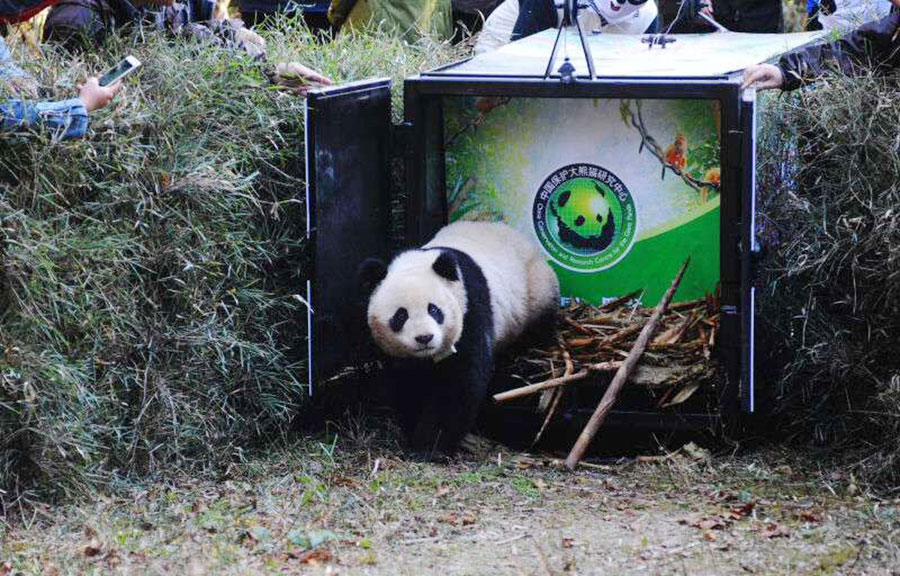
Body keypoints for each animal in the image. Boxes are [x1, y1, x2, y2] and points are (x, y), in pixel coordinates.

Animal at [358, 221, 560, 456]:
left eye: (434, 310)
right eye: (401, 315)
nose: (424, 338)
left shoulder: (470, 311)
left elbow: (458, 385)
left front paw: (430, 446)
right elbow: (409, 384)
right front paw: (414, 430)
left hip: (535, 291)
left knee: (538, 325)